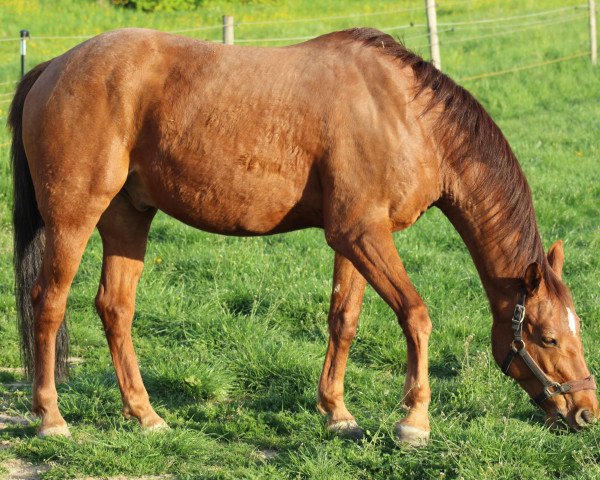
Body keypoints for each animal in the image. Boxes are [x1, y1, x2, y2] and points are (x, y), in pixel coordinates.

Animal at [8, 28, 596, 444]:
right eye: (547, 337)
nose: (586, 411)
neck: (406, 115)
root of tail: (52, 68)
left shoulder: (356, 238)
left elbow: (344, 320)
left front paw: (337, 413)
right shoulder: (362, 234)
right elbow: (416, 315)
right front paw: (415, 421)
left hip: (128, 217)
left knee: (115, 308)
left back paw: (146, 415)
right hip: (74, 218)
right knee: (48, 303)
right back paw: (51, 418)